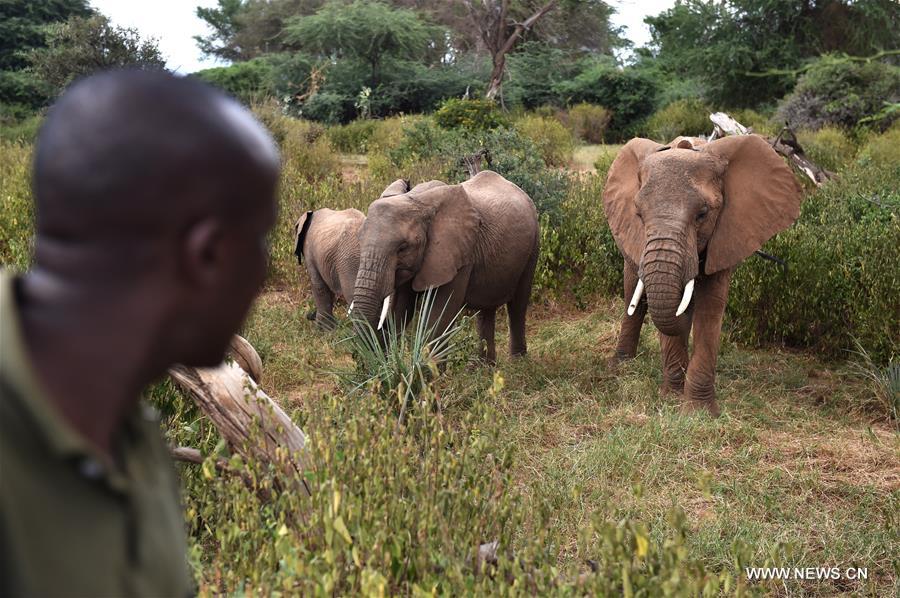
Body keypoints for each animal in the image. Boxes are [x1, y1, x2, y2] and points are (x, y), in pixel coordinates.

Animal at [348, 171, 536, 364]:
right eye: (360, 240)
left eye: (403, 248)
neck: (416, 200)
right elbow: (401, 309)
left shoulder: (458, 254)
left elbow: (440, 312)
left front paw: (429, 371)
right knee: (486, 308)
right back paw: (484, 366)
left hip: (532, 247)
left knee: (518, 305)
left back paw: (517, 362)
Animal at [604, 135, 800, 418]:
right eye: (639, 214)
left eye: (703, 214)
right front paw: (672, 399)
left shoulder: (727, 235)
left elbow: (710, 308)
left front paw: (699, 411)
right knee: (634, 292)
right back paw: (621, 365)